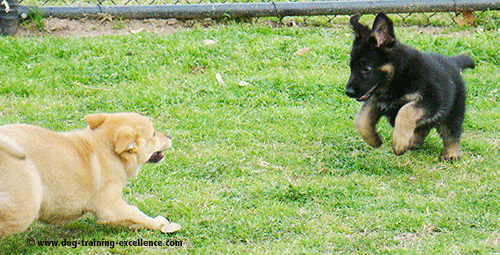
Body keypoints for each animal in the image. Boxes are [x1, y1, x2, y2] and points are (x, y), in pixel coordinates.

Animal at [0, 112, 183, 236]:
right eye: (153, 134)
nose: (169, 135)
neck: (107, 149)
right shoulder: (111, 207)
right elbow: (137, 214)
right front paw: (160, 223)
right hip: (24, 207)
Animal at [346, 12, 474, 160]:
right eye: (351, 67)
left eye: (366, 68)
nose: (348, 91)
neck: (399, 75)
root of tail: (454, 62)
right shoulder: (378, 102)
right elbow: (361, 120)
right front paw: (374, 140)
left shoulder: (431, 99)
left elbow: (406, 111)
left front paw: (399, 142)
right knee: (423, 128)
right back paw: (413, 142)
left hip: (453, 112)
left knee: (452, 133)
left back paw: (451, 154)